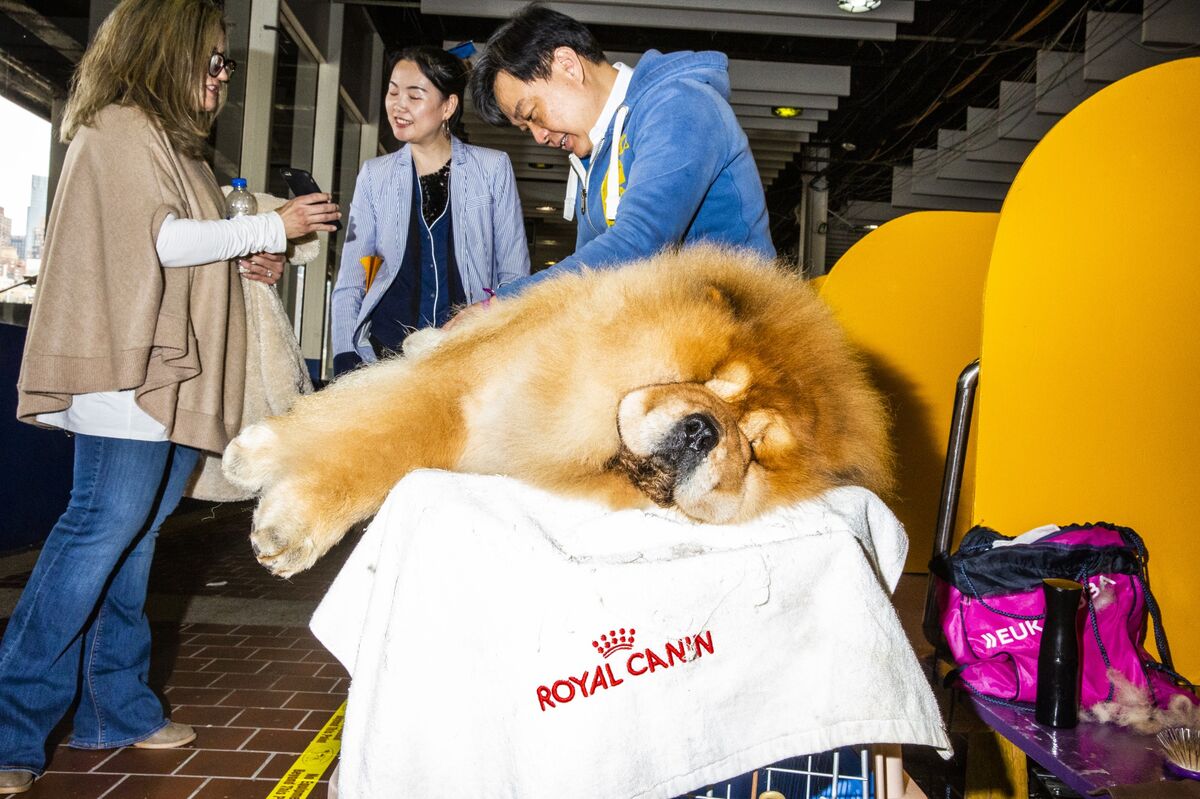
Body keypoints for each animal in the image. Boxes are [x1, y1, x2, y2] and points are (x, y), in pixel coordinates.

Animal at [225, 242, 892, 573]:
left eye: (754, 446)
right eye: (704, 380)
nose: (705, 432)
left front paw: (280, 518)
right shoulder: (464, 390)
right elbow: (374, 437)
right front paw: (282, 515)